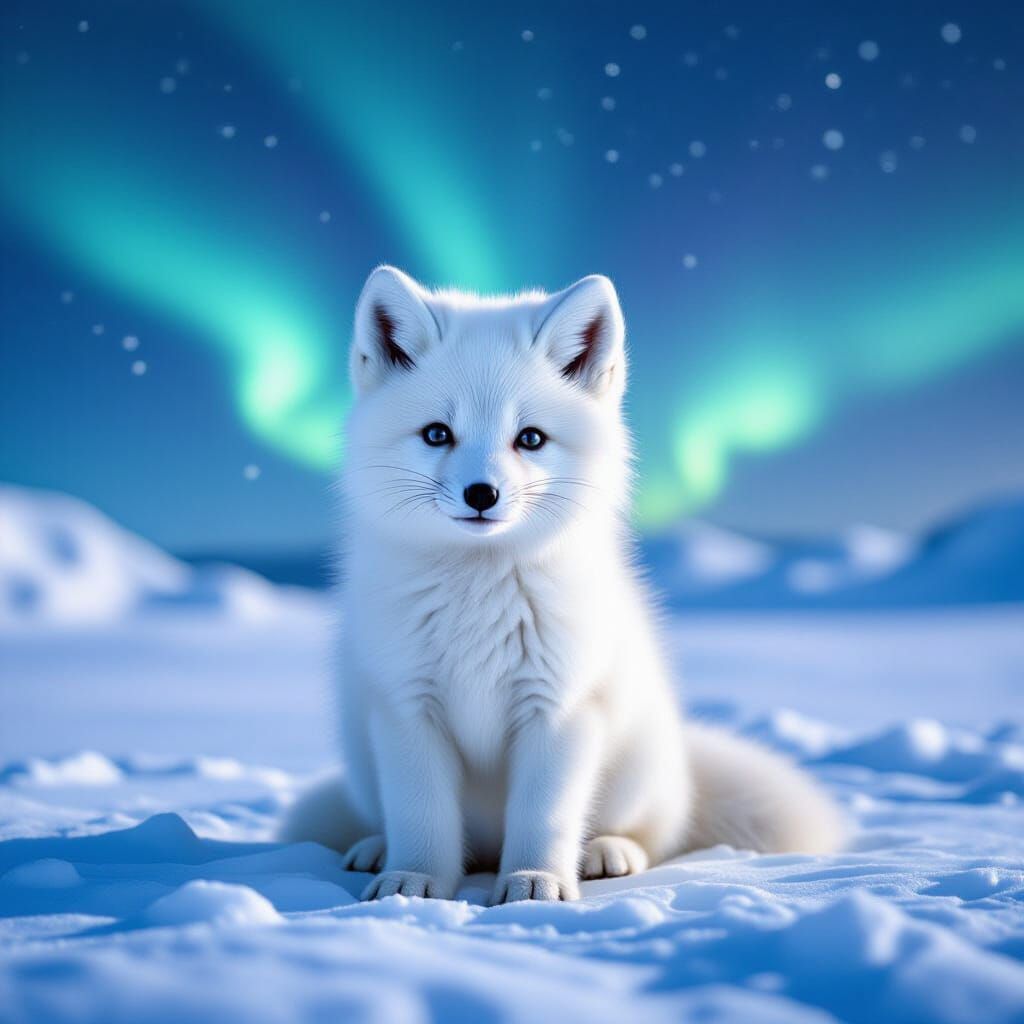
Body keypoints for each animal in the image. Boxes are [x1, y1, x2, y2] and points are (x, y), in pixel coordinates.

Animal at [281, 266, 843, 903]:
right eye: (437, 434)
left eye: (530, 438)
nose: (482, 494)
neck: (481, 594)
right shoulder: (407, 707)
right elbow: (419, 814)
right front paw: (415, 880)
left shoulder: (560, 708)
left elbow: (544, 816)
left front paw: (534, 883)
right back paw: (376, 849)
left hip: (637, 769)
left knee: (652, 834)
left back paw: (605, 852)